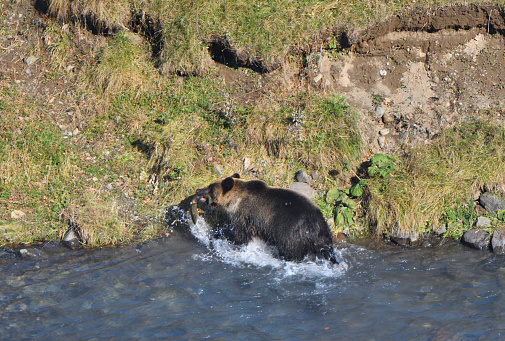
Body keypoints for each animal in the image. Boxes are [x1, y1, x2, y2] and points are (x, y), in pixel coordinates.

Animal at [193, 173, 338, 262]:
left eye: (210, 188)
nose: (197, 190)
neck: (236, 201)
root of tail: (316, 226)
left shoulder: (246, 215)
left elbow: (240, 235)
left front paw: (219, 234)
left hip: (292, 234)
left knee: (290, 252)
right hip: (324, 235)